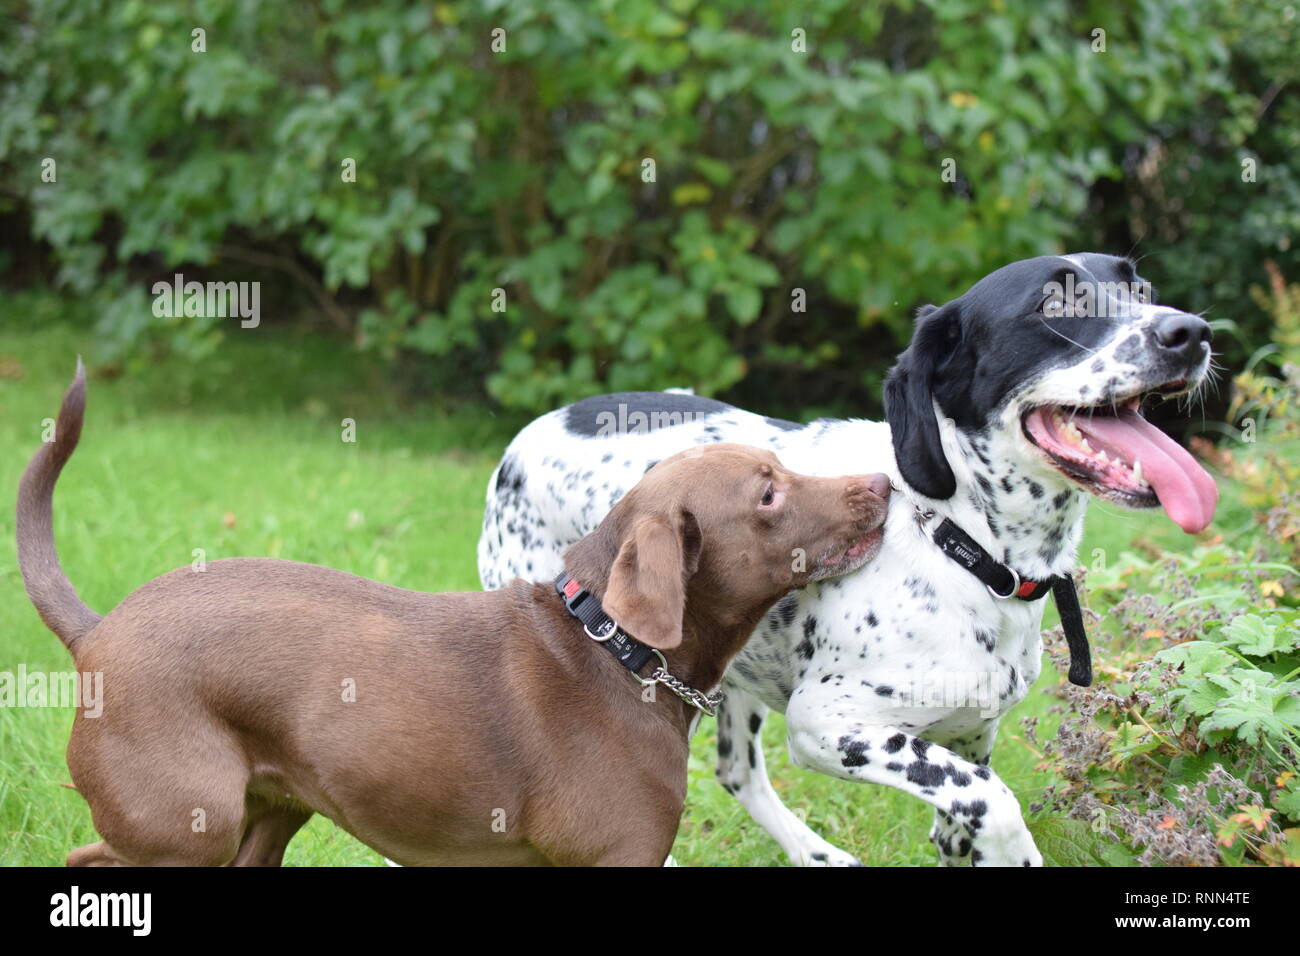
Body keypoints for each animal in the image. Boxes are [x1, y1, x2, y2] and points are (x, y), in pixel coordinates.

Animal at [17, 364, 894, 868]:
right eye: (769, 493)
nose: (882, 484)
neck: (612, 652)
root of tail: (97, 630)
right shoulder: (618, 855)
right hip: (184, 827)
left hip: (265, 819)